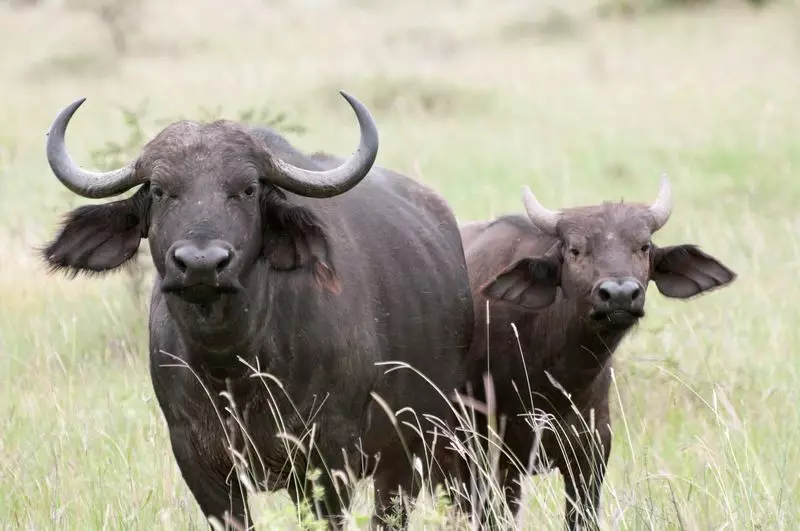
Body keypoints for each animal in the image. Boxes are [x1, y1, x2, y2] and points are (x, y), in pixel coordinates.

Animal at [40, 92, 473, 529]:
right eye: (160, 190)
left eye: (247, 190)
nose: (201, 263)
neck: (233, 365)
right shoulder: (199, 463)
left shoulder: (329, 459)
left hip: (418, 444)